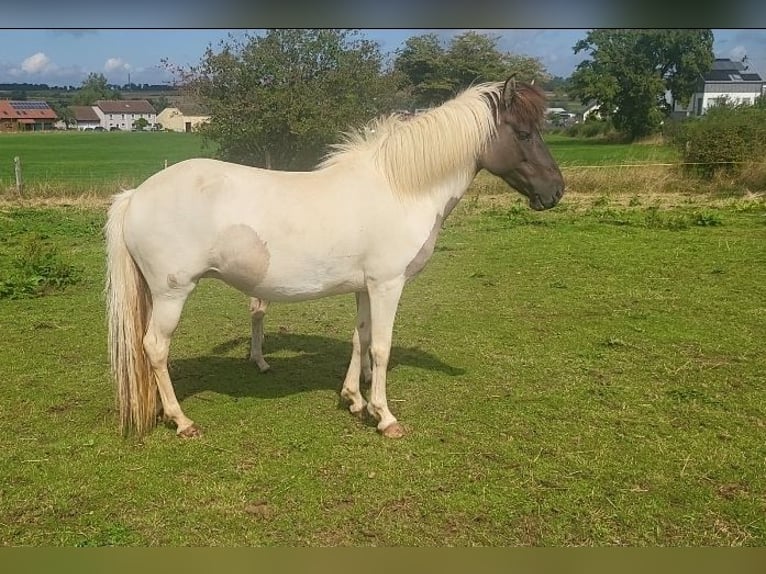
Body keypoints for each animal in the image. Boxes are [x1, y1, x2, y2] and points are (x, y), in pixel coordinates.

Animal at [105, 76, 565, 440]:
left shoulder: (365, 287)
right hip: (172, 294)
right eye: (524, 134)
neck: (401, 188)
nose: (556, 191)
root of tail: (136, 195)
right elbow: (381, 346)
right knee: (155, 347)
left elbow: (359, 337)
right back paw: (182, 421)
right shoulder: (387, 285)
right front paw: (385, 417)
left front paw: (354, 400)